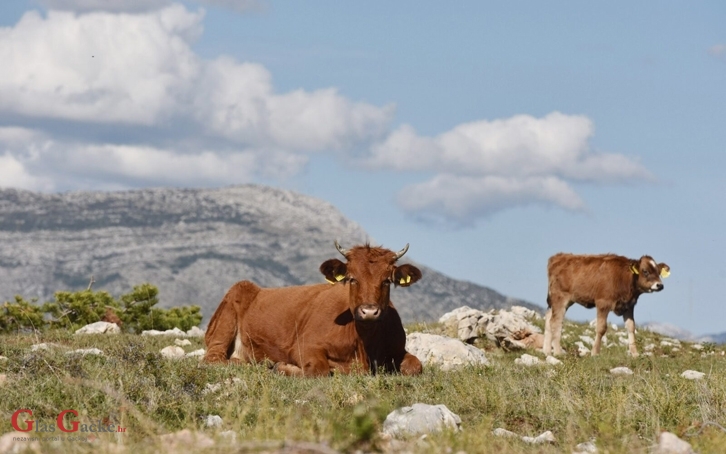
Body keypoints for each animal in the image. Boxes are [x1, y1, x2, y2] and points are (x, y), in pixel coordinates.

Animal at [203, 241, 426, 376]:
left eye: (387, 280)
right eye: (352, 279)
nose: (369, 311)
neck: (365, 346)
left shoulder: (398, 349)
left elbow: (415, 365)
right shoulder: (304, 346)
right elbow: (319, 370)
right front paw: (282, 366)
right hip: (225, 322)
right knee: (213, 358)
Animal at [544, 254, 672, 356]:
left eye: (658, 272)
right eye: (645, 271)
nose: (659, 285)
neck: (623, 278)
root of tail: (559, 256)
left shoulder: (629, 305)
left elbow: (631, 327)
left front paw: (635, 353)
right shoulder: (603, 303)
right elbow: (601, 328)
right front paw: (595, 352)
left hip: (558, 301)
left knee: (549, 319)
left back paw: (547, 351)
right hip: (560, 298)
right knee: (556, 322)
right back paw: (558, 352)